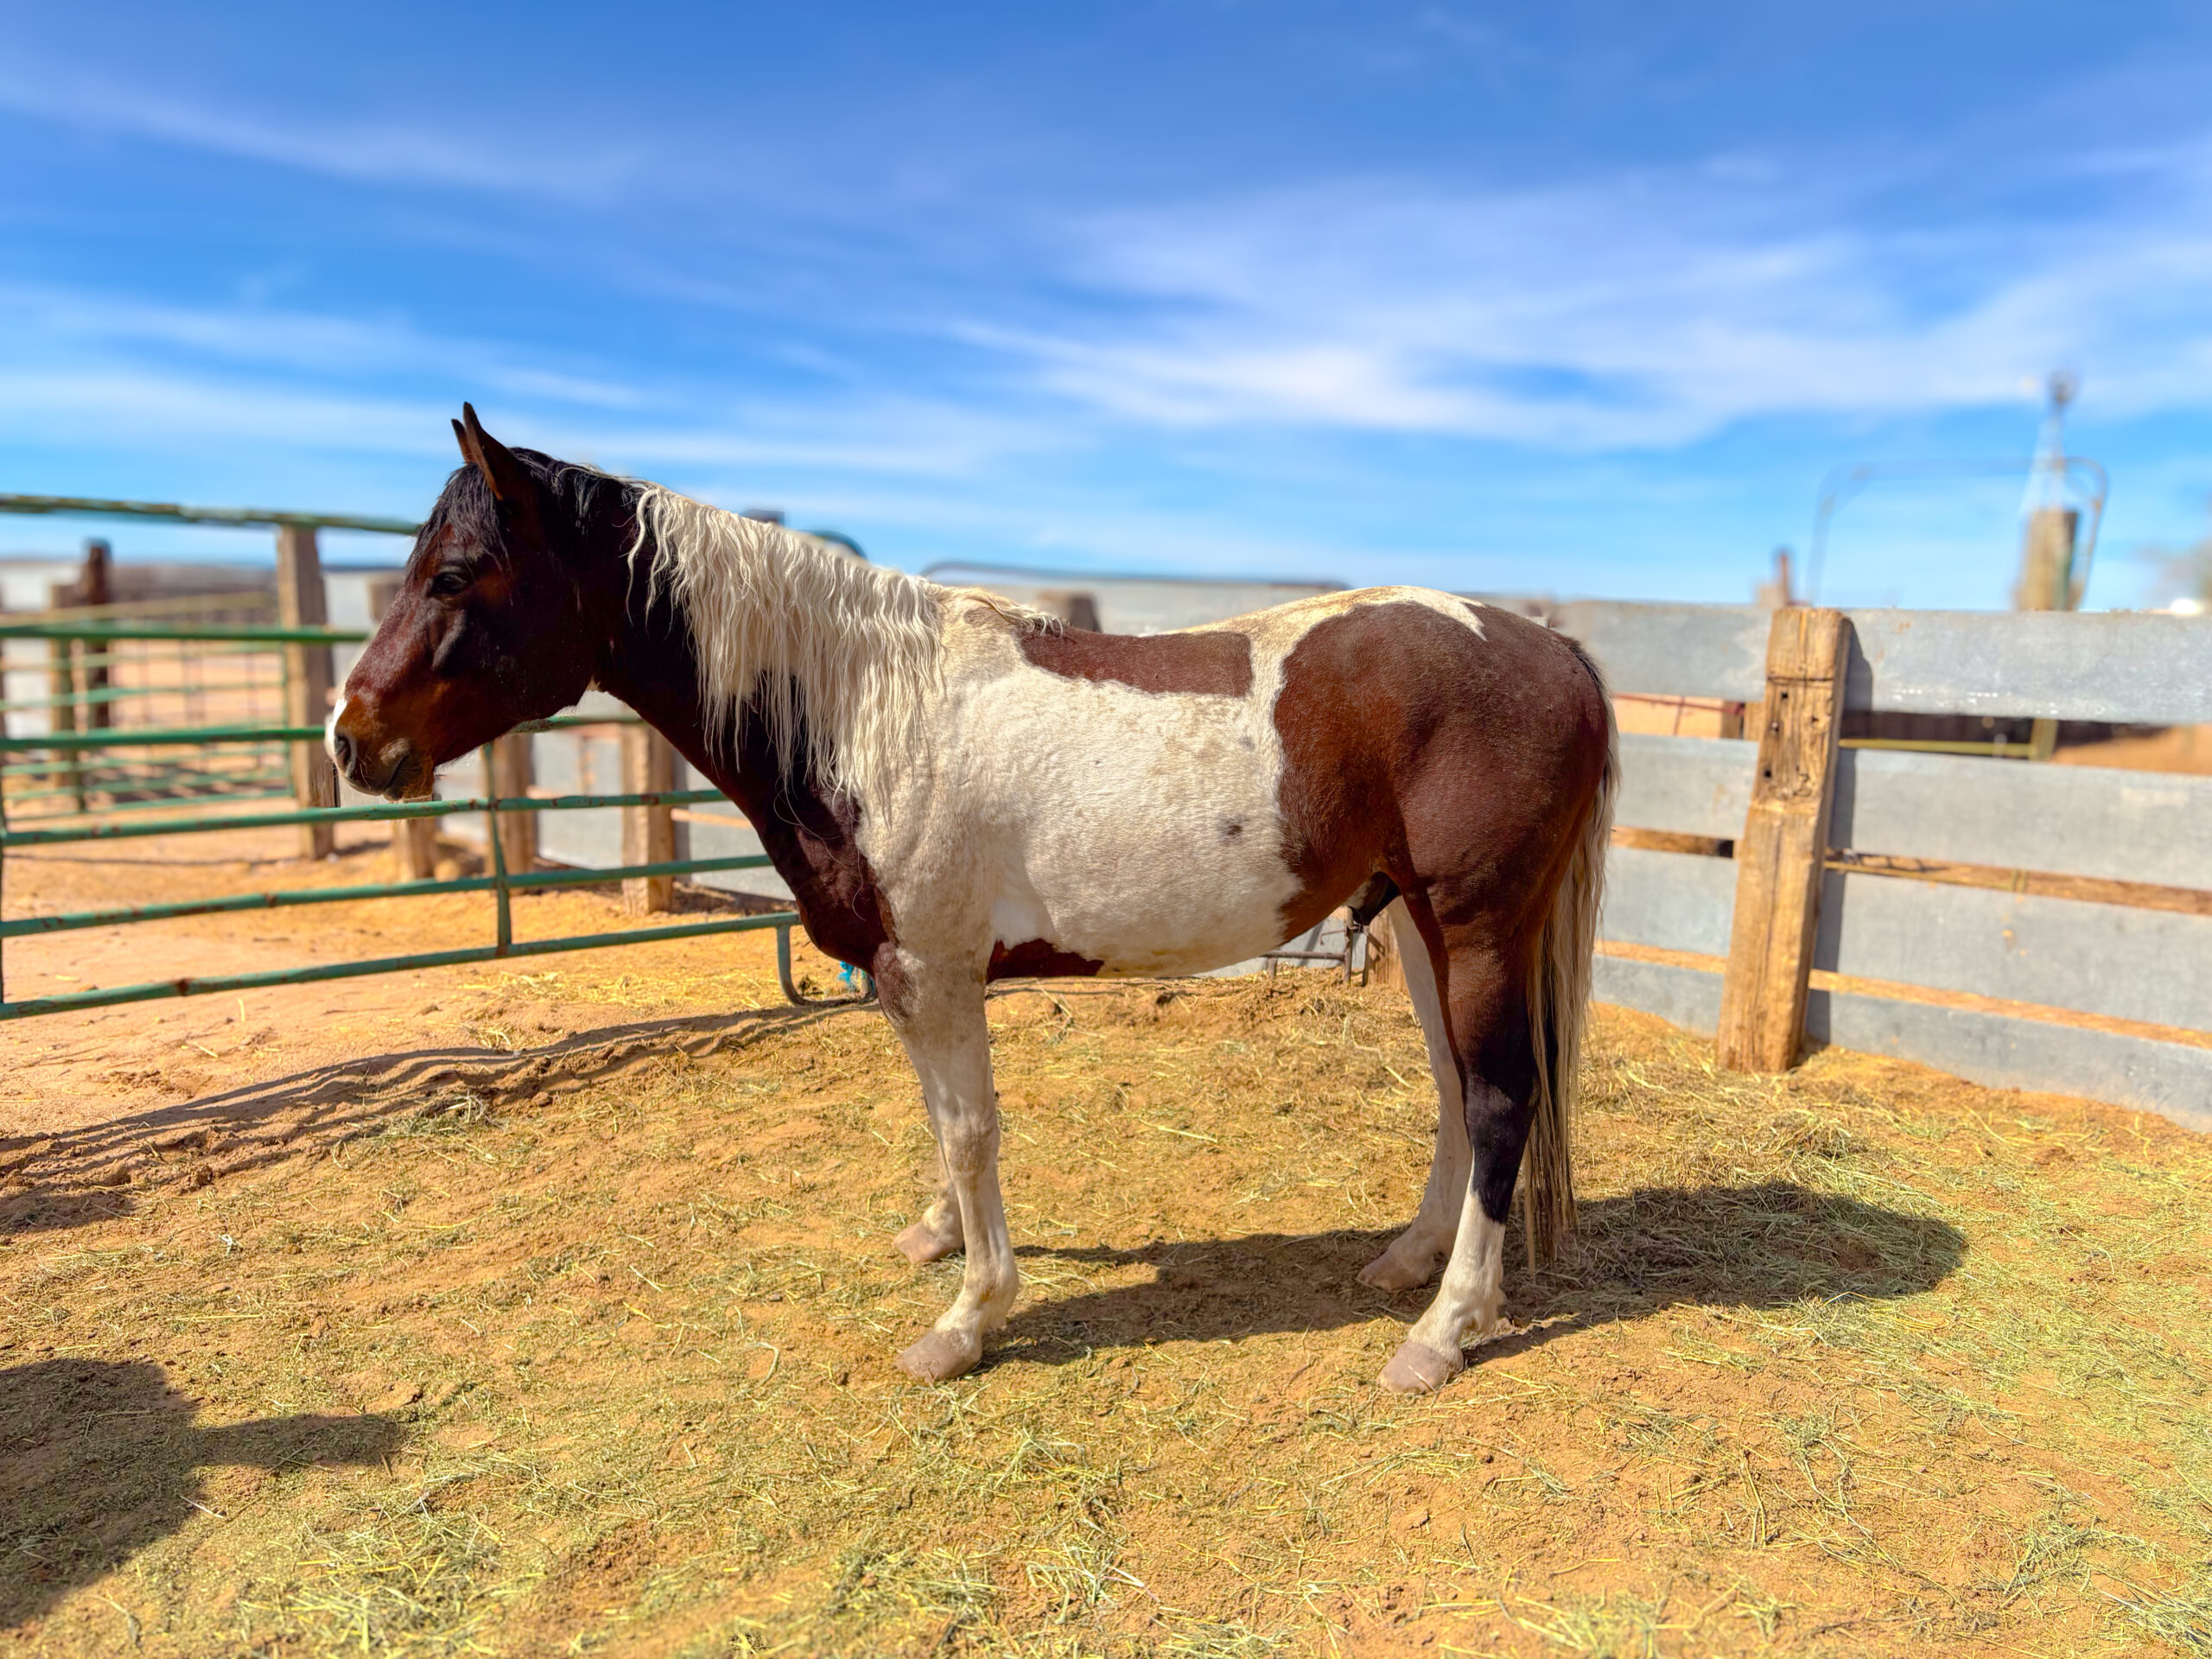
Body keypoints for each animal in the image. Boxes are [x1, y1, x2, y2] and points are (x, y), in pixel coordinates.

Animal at [329, 406, 1617, 1393]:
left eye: (453, 576)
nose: (352, 741)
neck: (860, 715)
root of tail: (1552, 648)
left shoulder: (934, 973)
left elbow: (969, 1130)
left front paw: (967, 1318)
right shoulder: (911, 981)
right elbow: (943, 1127)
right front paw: (942, 1240)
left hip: (1478, 923)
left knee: (1500, 1099)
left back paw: (1441, 1333)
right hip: (1418, 920)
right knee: (1454, 1090)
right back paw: (1408, 1264)